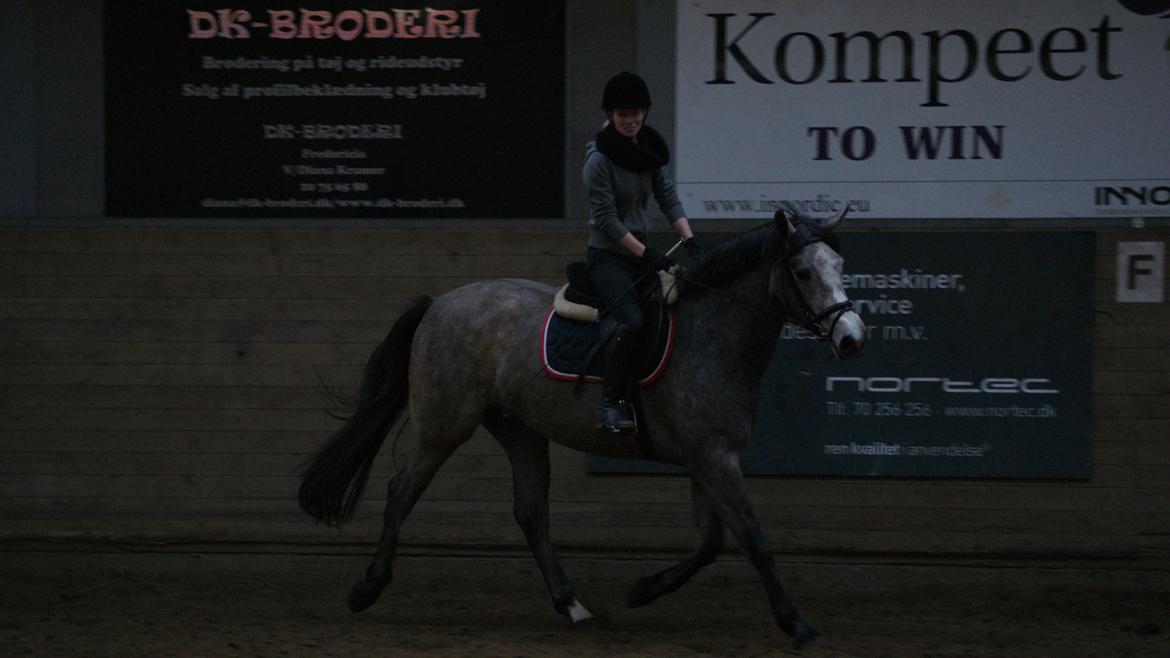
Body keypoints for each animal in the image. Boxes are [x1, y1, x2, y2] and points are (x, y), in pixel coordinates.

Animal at [299, 208, 870, 646]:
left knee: (531, 512)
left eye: (841, 265)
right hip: (444, 424)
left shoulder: (705, 456)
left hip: (519, 428)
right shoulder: (713, 457)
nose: (852, 338)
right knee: (402, 490)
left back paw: (572, 606)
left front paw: (643, 589)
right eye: (803, 272)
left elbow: (710, 542)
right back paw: (368, 588)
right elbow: (752, 539)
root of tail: (439, 303)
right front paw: (796, 624)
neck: (712, 333)